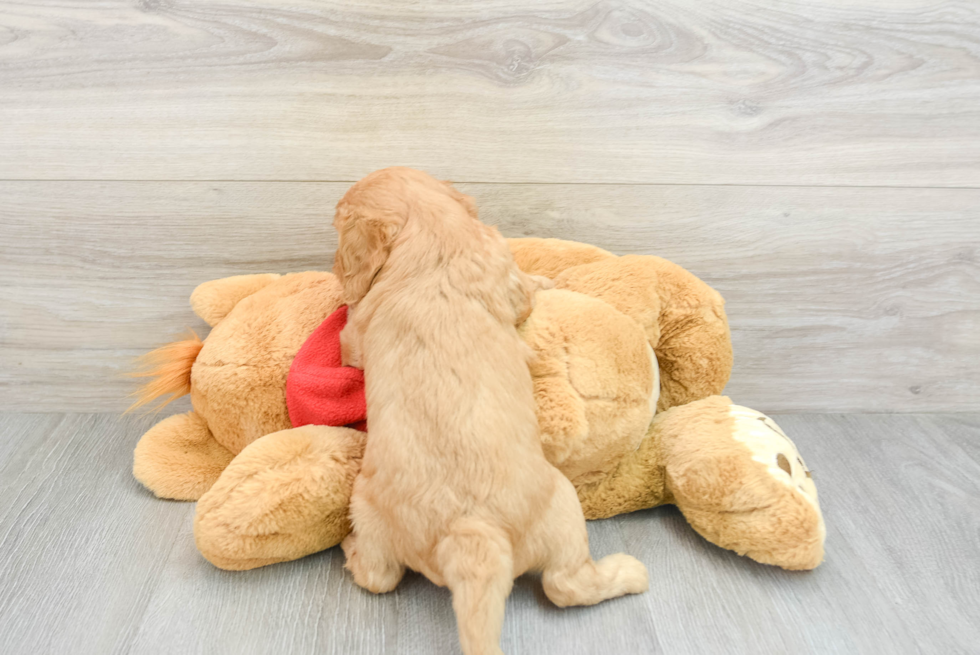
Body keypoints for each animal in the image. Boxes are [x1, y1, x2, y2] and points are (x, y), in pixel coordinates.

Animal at [334, 168, 648, 655]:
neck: (431, 236)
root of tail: (473, 531)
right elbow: (526, 292)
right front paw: (546, 283)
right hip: (562, 504)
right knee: (567, 585)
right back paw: (632, 572)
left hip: (375, 510)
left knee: (380, 577)